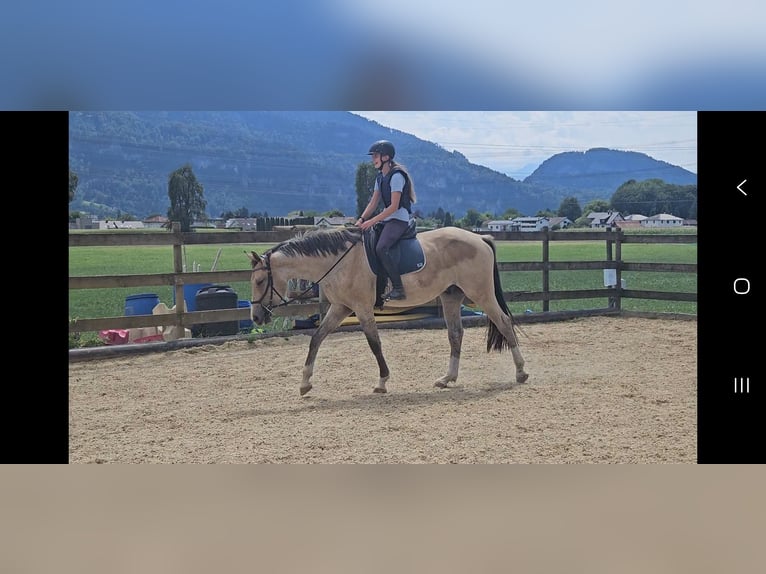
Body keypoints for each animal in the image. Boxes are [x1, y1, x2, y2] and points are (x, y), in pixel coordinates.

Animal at [248, 225, 528, 396]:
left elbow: (374, 344)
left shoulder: (361, 308)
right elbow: (316, 339)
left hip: (481, 294)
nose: (256, 317)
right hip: (451, 296)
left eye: (260, 281)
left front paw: (382, 382)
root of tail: (479, 238)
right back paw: (447, 378)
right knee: (455, 334)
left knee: (503, 322)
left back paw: (521, 371)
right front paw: (305, 383)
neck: (338, 261)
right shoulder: (340, 307)